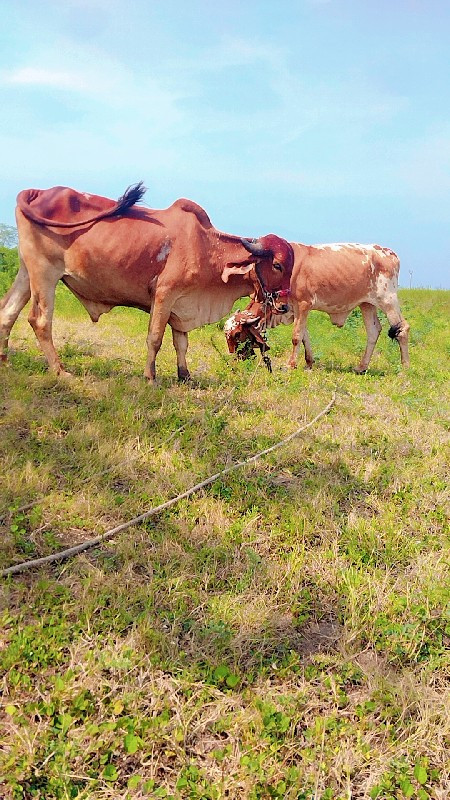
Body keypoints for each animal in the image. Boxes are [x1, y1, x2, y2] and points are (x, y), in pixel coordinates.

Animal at [0, 183, 294, 382]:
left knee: (8, 312)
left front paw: (185, 376)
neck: (207, 247)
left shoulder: (182, 305)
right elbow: (155, 338)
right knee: (39, 320)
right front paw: (150, 377)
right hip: (46, 274)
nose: (284, 307)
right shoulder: (164, 294)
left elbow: (181, 343)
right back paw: (60, 370)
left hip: (27, 272)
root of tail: (37, 191)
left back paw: (5, 362)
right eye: (277, 265)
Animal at [266, 242, 410, 374]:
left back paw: (405, 369)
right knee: (373, 331)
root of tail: (389, 253)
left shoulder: (302, 304)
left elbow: (297, 336)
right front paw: (308, 363)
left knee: (403, 329)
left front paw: (290, 365)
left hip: (388, 300)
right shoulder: (295, 310)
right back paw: (361, 367)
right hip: (367, 304)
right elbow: (304, 335)